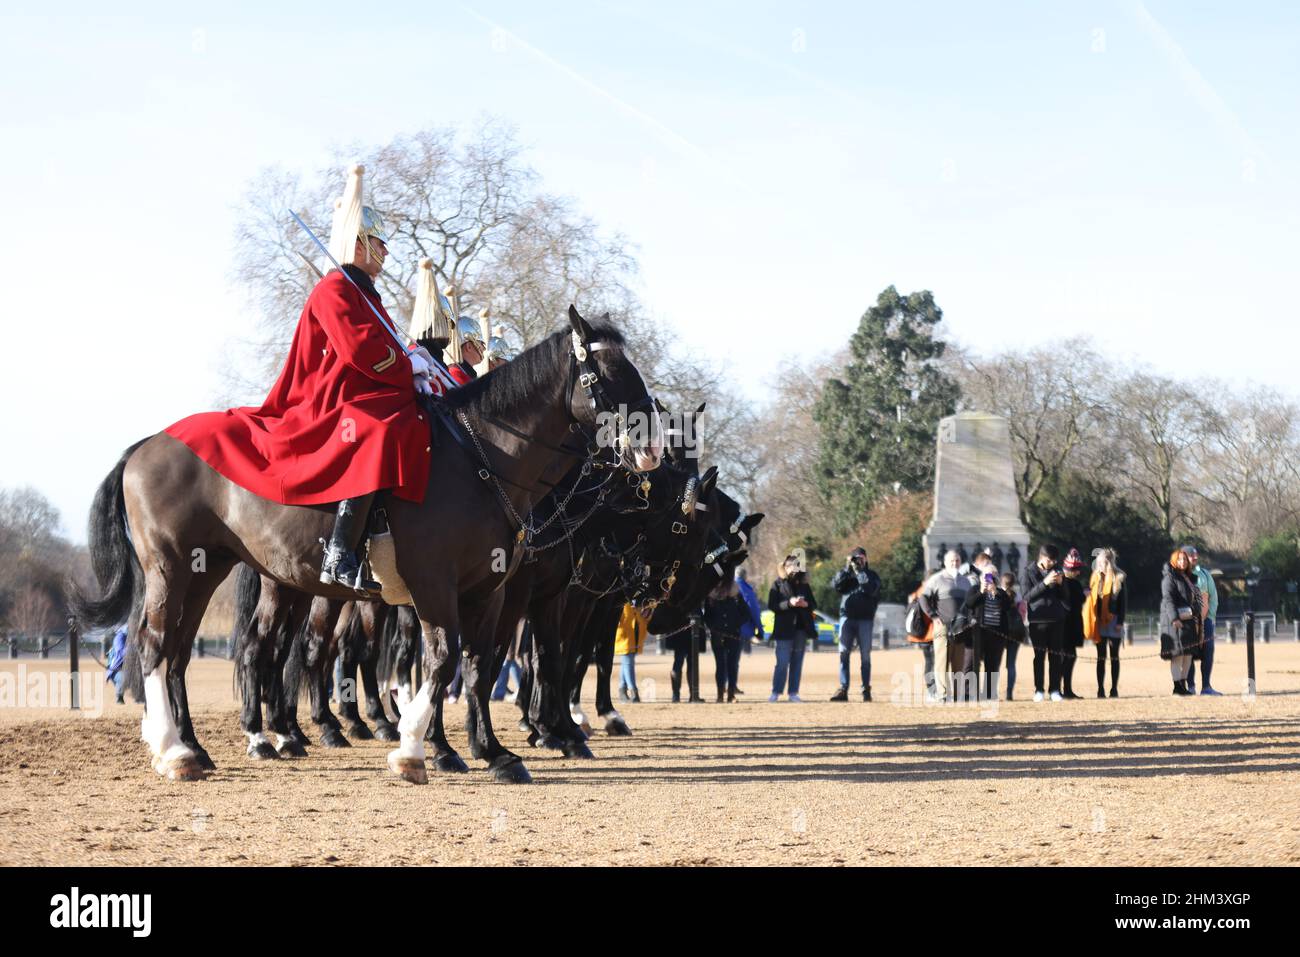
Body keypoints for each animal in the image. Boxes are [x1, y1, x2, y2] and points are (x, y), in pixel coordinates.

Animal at [71, 310, 660, 780]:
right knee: (163, 645)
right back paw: (188, 748)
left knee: (179, 652)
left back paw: (200, 744)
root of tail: (148, 443)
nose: (652, 449)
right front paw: (417, 749)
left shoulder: (489, 591)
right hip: (176, 570)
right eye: (610, 376)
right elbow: (441, 661)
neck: (480, 458)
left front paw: (493, 752)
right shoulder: (436, 586)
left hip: (206, 570)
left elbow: (477, 666)